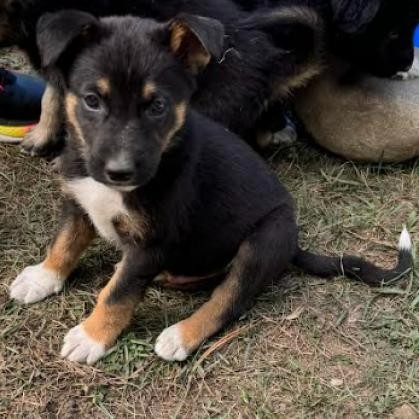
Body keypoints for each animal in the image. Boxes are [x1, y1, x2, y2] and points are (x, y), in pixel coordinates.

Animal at [8, 9, 416, 364]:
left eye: (157, 106)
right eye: (92, 100)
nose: (119, 172)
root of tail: (294, 246)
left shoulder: (153, 243)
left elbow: (119, 293)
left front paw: (92, 337)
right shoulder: (78, 201)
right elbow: (65, 242)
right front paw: (43, 277)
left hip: (262, 241)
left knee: (229, 299)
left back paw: (181, 335)